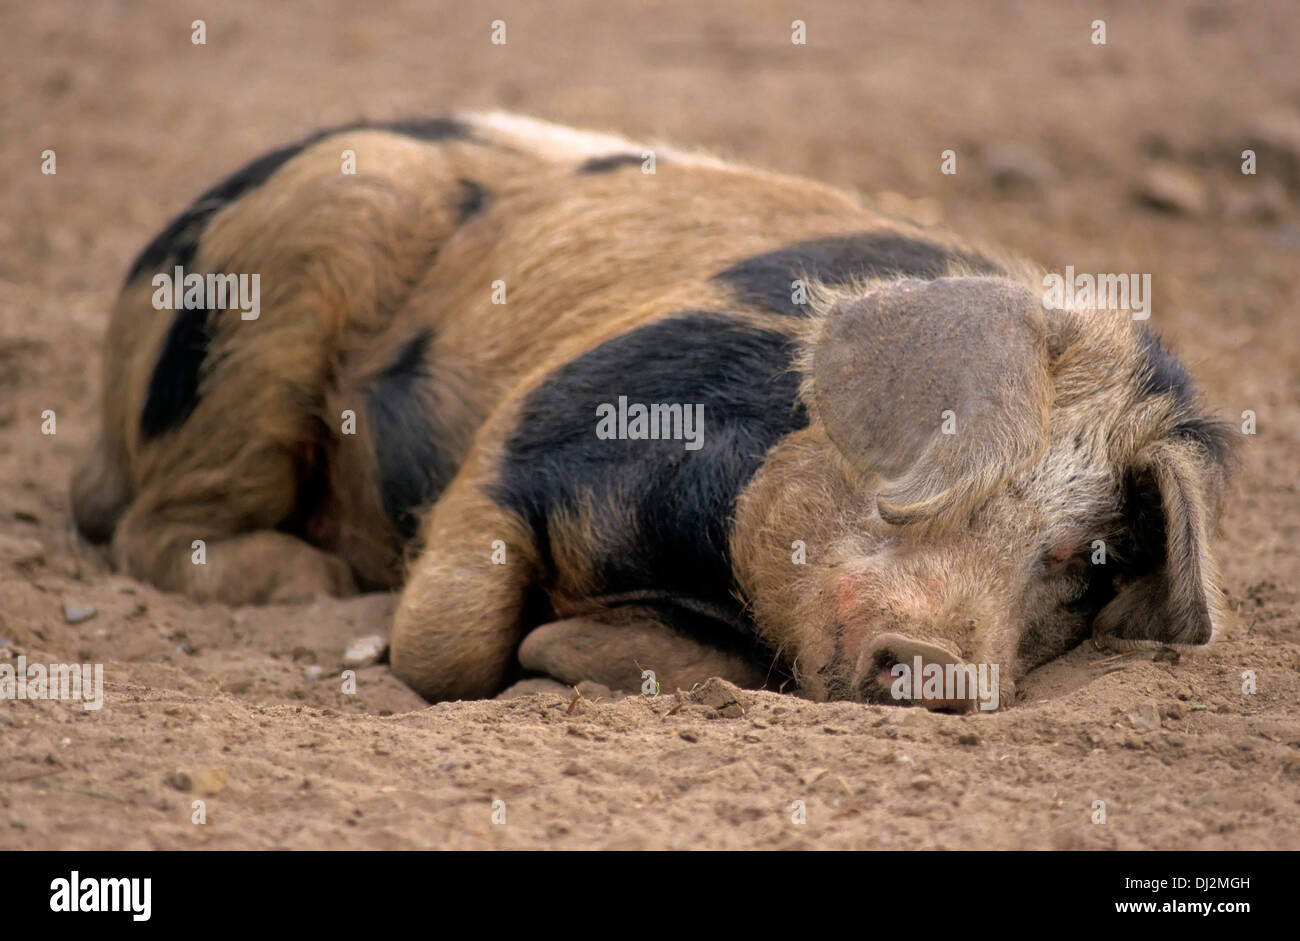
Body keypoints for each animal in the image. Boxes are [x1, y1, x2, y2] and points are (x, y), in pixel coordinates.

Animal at [71, 112, 1234, 710]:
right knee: (150, 524)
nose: (949, 669)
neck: (697, 564)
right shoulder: (543, 423)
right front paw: (518, 647)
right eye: (950, 474)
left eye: (1079, 561)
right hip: (270, 289)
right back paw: (304, 580)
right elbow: (451, 640)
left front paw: (565, 653)